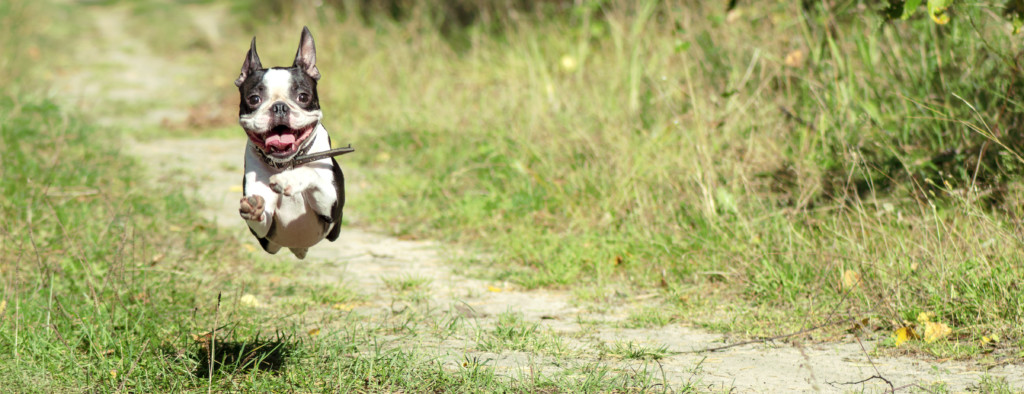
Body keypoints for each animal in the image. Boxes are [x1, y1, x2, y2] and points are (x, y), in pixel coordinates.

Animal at [232, 25, 344, 257]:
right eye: (254, 99)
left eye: (303, 96)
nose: (279, 107)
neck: (287, 163)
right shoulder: (264, 233)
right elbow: (259, 216)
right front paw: (254, 207)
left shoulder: (332, 210)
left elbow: (310, 172)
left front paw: (289, 180)